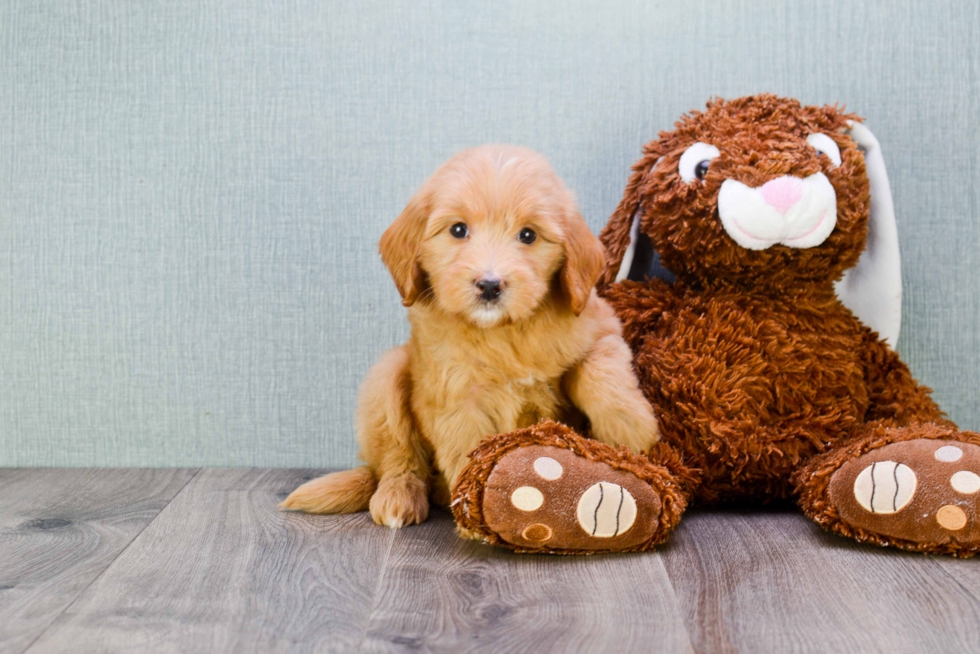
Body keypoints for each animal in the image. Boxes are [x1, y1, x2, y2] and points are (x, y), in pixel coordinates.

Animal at [282, 145, 660, 532]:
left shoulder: (601, 325)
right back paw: (398, 495)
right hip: (386, 375)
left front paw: (630, 429)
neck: (504, 333)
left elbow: (600, 370)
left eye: (528, 235)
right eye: (458, 229)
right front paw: (476, 507)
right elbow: (466, 446)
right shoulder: (457, 397)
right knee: (398, 456)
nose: (490, 285)